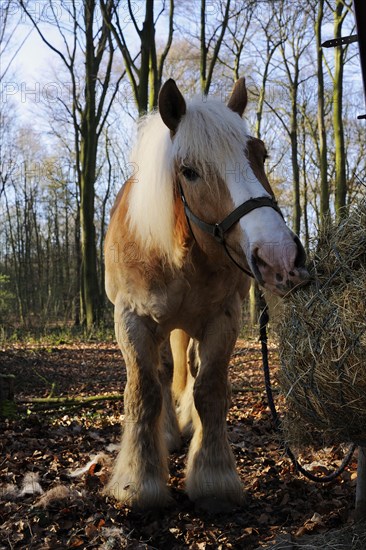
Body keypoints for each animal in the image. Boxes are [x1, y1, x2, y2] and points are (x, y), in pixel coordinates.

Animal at [103, 77, 308, 512]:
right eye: (189, 171)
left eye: (260, 155)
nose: (279, 255)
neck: (179, 255)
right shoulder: (132, 319)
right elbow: (144, 391)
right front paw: (138, 482)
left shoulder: (223, 318)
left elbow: (210, 391)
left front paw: (213, 478)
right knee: (164, 373)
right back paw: (167, 434)